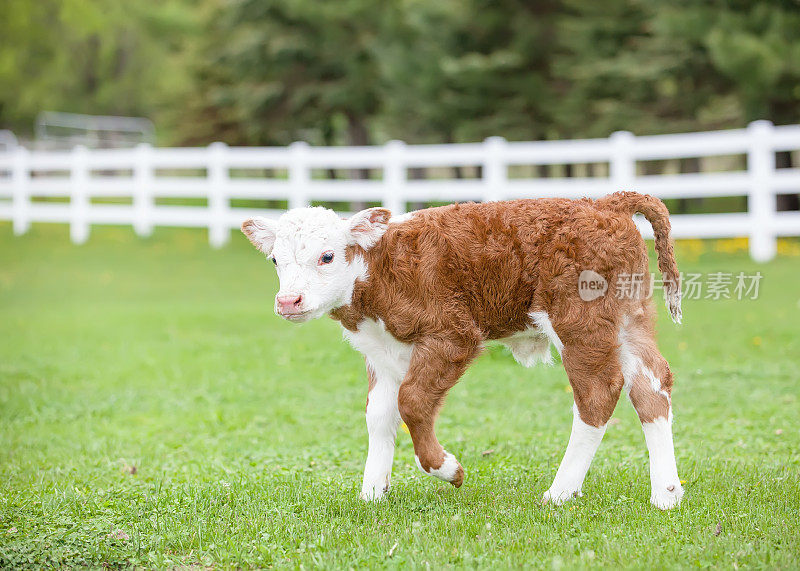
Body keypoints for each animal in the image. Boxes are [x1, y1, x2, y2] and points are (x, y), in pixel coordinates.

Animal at [241, 192, 684, 510]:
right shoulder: (382, 353)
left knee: (597, 392)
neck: (379, 270)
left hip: (580, 321)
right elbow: (378, 415)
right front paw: (372, 490)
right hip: (629, 317)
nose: (288, 301)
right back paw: (666, 494)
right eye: (276, 259)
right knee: (651, 385)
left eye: (327, 255)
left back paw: (560, 492)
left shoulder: (451, 334)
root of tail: (604, 202)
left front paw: (448, 469)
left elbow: (412, 401)